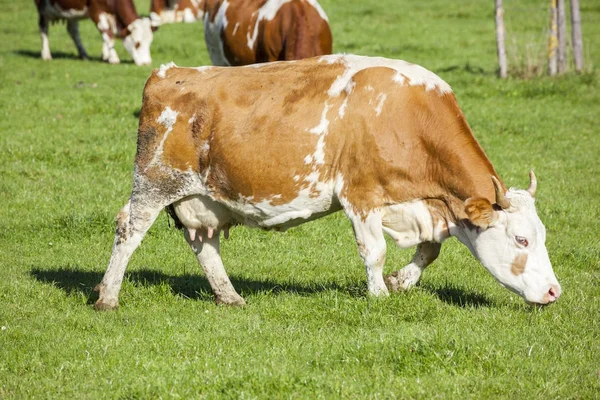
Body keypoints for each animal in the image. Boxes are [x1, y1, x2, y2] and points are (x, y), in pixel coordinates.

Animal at [94, 54, 564, 310]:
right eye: (521, 239)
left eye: (542, 236)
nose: (554, 291)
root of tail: (172, 72)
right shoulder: (360, 195)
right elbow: (374, 251)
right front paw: (380, 294)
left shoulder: (422, 204)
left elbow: (431, 249)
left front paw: (400, 281)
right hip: (154, 183)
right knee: (128, 229)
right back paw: (108, 297)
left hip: (205, 199)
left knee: (204, 245)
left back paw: (229, 297)